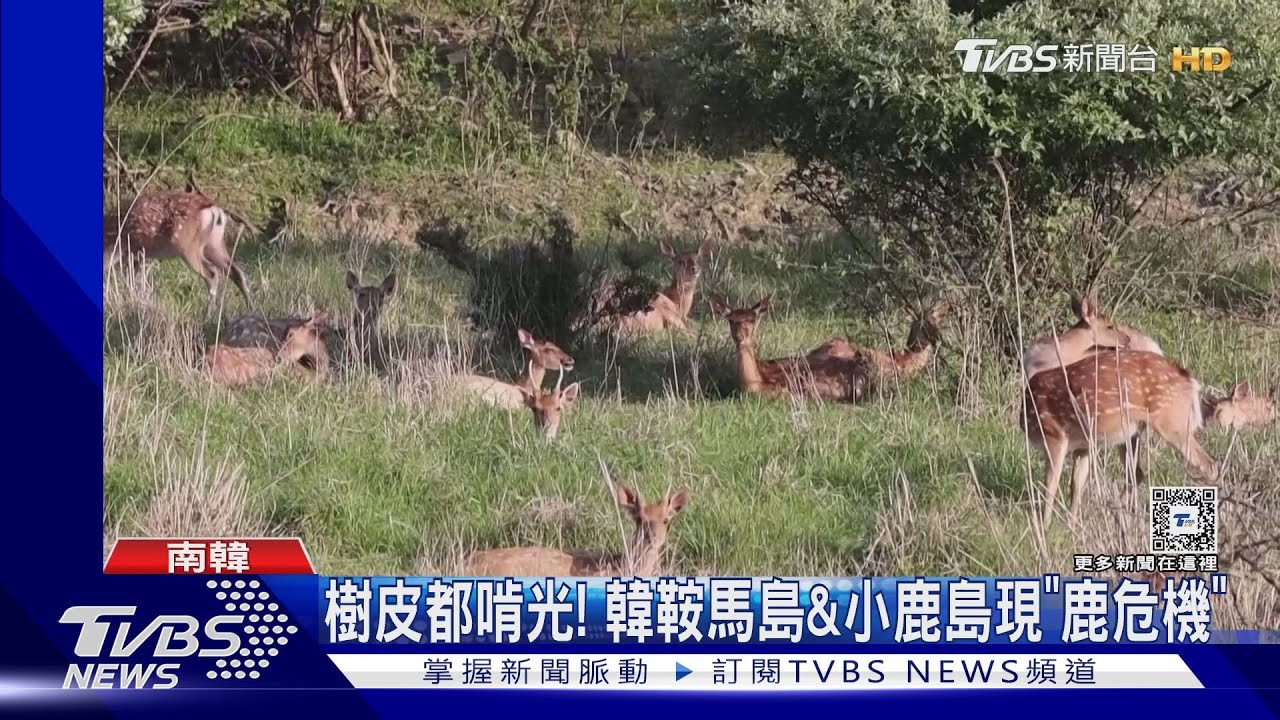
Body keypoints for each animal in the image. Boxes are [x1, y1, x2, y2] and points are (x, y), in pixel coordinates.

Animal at [105, 190, 252, 313]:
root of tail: (216, 212)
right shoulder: (138, 257)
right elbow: (134, 282)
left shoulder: (133, 252)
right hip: (214, 244)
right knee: (235, 271)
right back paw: (250, 307)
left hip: (187, 246)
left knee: (212, 274)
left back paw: (208, 314)